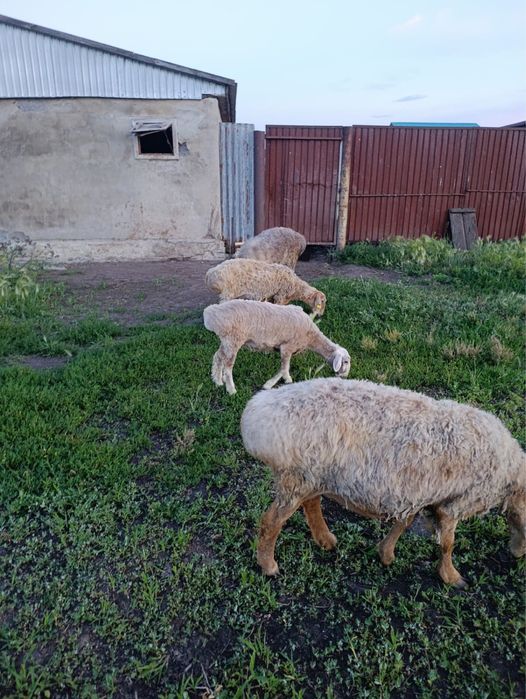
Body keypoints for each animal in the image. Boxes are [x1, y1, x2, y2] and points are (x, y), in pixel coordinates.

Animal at [203, 300, 350, 394]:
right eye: (346, 362)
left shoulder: (284, 349)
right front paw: (288, 380)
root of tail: (211, 313)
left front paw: (268, 384)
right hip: (234, 340)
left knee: (218, 357)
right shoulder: (287, 347)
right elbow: (285, 368)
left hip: (226, 341)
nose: (344, 376)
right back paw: (231, 390)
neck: (311, 337)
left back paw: (217, 381)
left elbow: (281, 368)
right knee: (228, 367)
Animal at [240, 378, 526, 587]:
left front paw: (386, 554)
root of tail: (258, 411)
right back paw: (269, 566)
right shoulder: (455, 503)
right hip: (297, 477)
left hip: (312, 474)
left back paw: (325, 540)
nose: (518, 555)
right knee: (271, 522)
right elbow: (447, 544)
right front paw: (452, 577)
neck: (511, 474)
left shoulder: (418, 494)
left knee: (311, 504)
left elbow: (405, 523)